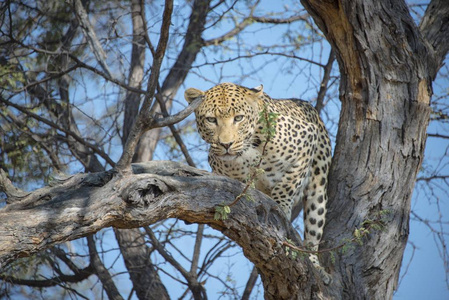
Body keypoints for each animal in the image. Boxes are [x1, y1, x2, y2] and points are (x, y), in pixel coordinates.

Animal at [184, 81, 330, 278]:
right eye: (211, 120)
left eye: (238, 118)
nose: (226, 144)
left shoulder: (306, 141)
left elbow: (286, 185)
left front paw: (281, 208)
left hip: (318, 187)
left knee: (314, 227)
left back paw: (315, 263)